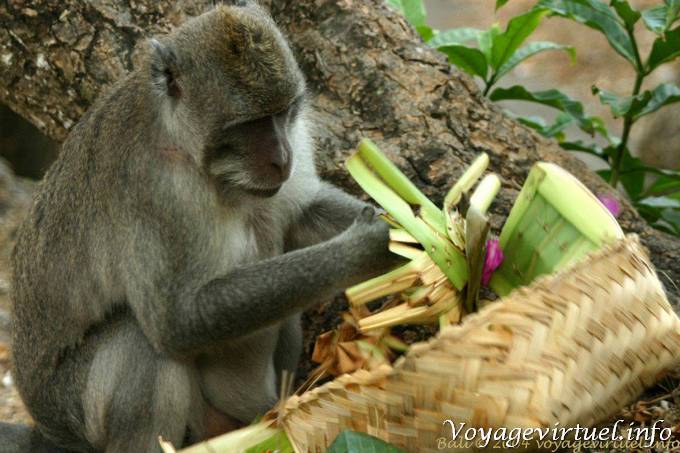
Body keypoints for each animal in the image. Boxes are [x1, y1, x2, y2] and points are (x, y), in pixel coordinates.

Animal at [0, 2, 402, 452]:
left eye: (282, 114)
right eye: (249, 126)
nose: (282, 158)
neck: (190, 149)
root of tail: (47, 432)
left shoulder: (295, 138)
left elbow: (302, 213)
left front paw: (423, 231)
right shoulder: (156, 190)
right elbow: (179, 321)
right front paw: (368, 250)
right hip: (75, 413)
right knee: (139, 340)